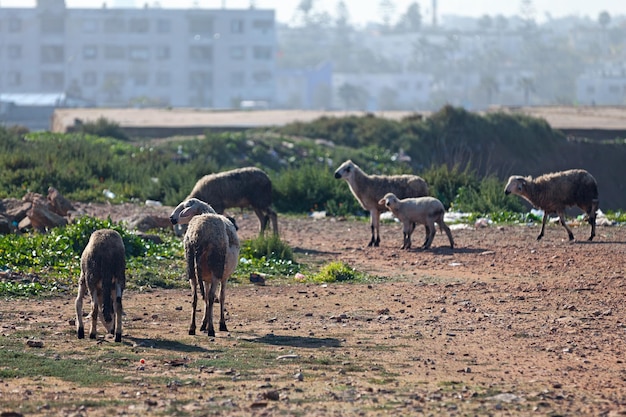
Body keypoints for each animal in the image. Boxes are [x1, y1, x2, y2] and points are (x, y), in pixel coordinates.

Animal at [169, 197, 240, 336]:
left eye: (184, 207)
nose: (171, 218)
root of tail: (197, 236)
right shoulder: (223, 277)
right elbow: (220, 297)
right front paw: (220, 324)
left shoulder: (205, 277)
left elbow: (205, 298)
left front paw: (203, 324)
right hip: (216, 268)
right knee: (212, 298)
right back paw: (211, 330)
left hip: (191, 268)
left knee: (195, 297)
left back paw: (192, 328)